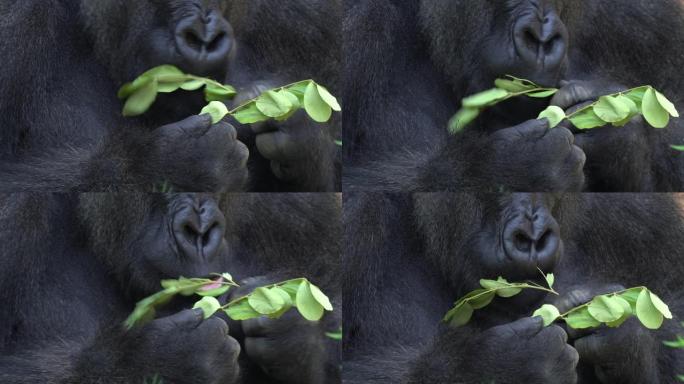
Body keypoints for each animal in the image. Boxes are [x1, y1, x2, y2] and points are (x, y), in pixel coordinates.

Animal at [344, 194, 684, 382]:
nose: (532, 235)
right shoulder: (364, 225)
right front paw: (507, 364)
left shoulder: (636, 212)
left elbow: (673, 303)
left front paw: (627, 338)